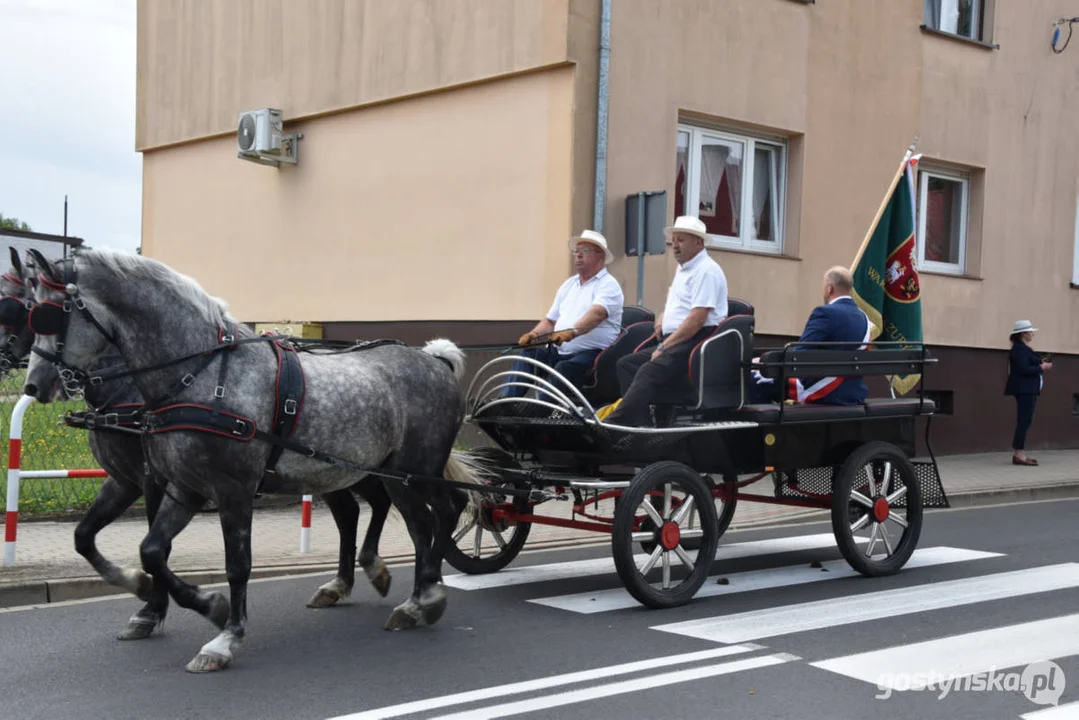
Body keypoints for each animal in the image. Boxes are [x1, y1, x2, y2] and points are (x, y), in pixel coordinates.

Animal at [22, 249, 481, 677]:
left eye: (48, 314)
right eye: (28, 310)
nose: (34, 385)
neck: (200, 375)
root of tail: (435, 360)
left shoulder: (233, 490)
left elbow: (238, 565)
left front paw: (225, 638)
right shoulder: (185, 488)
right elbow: (151, 549)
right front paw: (202, 603)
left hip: (409, 473)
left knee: (436, 516)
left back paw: (424, 597)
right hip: (370, 472)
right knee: (419, 518)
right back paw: (407, 591)